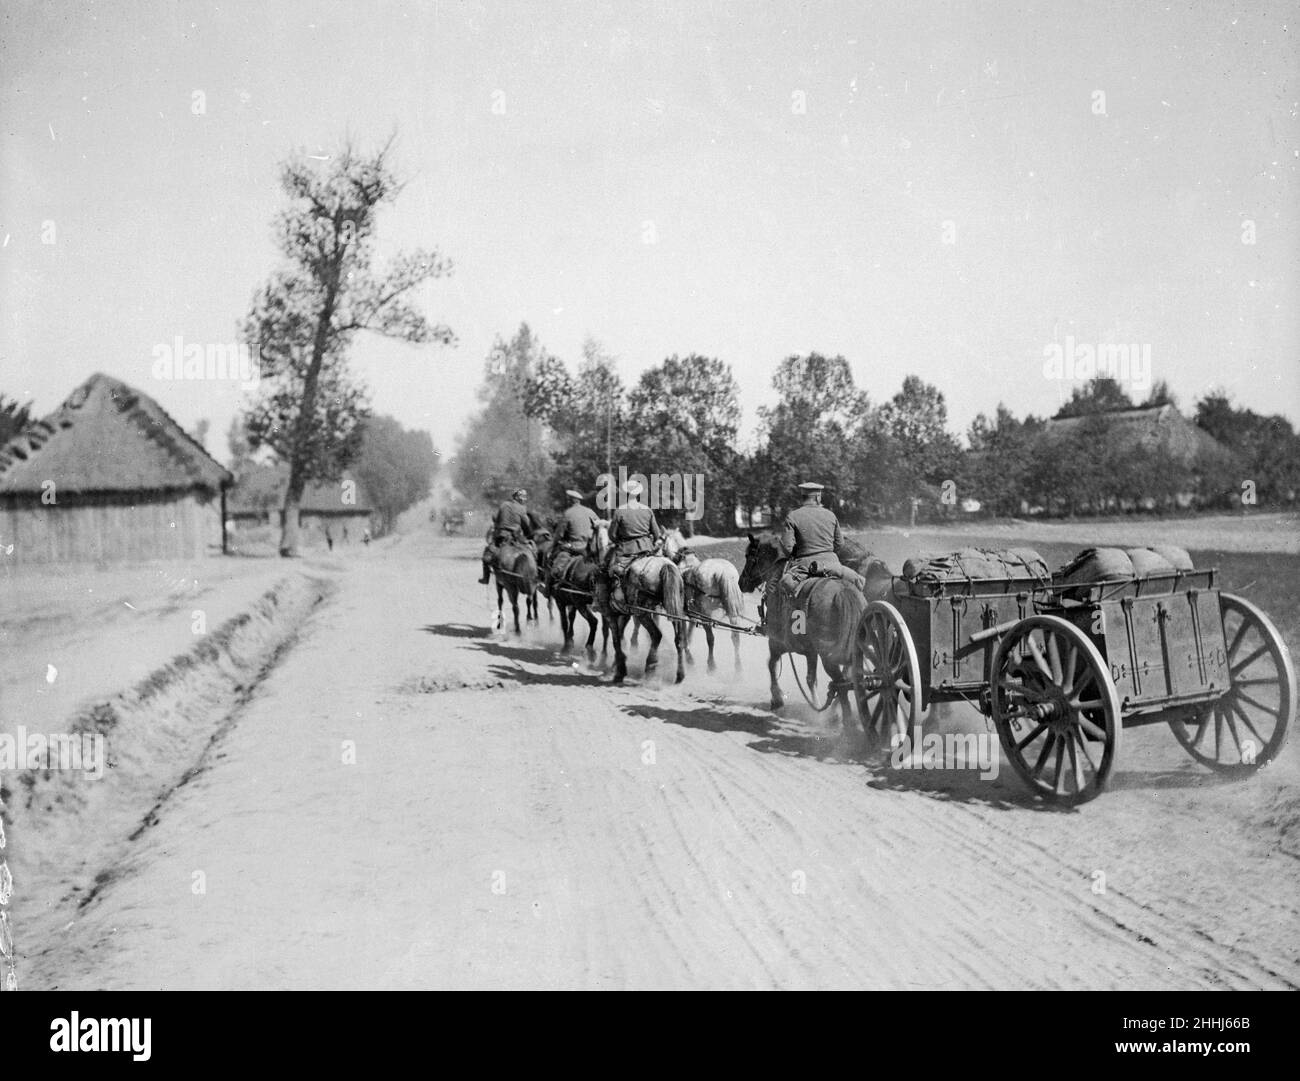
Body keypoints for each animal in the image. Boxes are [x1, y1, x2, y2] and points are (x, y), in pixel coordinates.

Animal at [592, 519, 691, 680]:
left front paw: (620, 670)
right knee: (679, 638)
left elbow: (616, 640)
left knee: (656, 635)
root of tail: (666, 565)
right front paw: (617, 664)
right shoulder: (624, 613)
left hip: (642, 612)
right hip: (675, 609)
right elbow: (620, 637)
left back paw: (650, 666)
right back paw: (679, 674)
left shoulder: (609, 613)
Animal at [665, 527, 748, 670]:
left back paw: (711, 665)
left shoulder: (683, 612)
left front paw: (688, 656)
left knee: (711, 638)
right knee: (735, 637)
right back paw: (738, 669)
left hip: (706, 614)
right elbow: (689, 631)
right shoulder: (692, 613)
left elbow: (684, 634)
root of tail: (722, 571)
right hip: (732, 612)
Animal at [743, 535, 863, 732]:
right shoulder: (810, 652)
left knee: (842, 683)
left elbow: (772, 665)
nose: (741, 582)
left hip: (828, 656)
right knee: (848, 679)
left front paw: (777, 699)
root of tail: (842, 591)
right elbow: (811, 679)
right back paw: (836, 714)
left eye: (749, 556)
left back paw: (846, 722)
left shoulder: (778, 642)